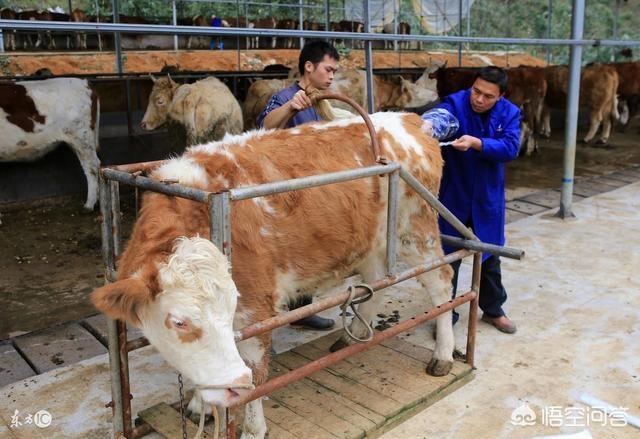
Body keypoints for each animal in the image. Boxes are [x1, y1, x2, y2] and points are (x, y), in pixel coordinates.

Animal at [92, 111, 458, 439]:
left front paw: (253, 428)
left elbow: (255, 373)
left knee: (441, 281)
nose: (232, 385)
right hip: (371, 241)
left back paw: (442, 355)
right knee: (377, 282)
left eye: (231, 307)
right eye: (179, 321)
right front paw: (199, 403)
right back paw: (353, 334)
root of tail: (411, 119)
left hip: (416, 230)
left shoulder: (256, 307)